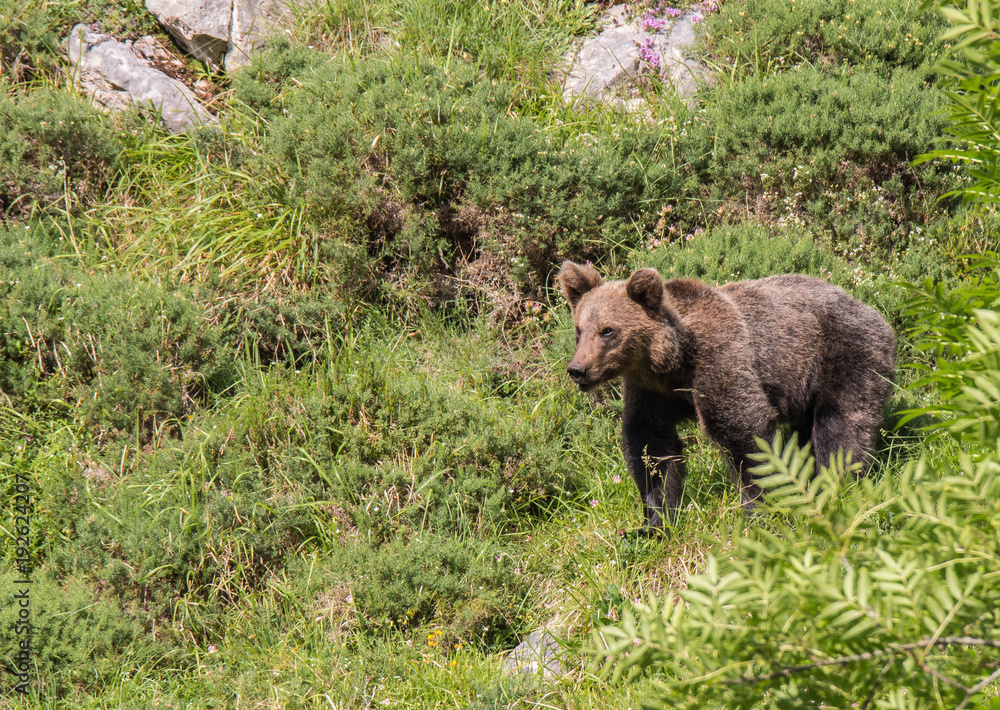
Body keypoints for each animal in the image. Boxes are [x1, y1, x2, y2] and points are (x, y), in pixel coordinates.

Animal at [560, 262, 896, 528]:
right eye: (579, 329)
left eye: (608, 330)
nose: (578, 369)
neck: (673, 364)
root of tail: (870, 308)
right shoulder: (651, 392)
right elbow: (650, 447)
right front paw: (654, 520)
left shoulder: (718, 359)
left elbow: (741, 431)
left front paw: (761, 508)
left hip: (844, 354)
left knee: (840, 425)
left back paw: (836, 484)